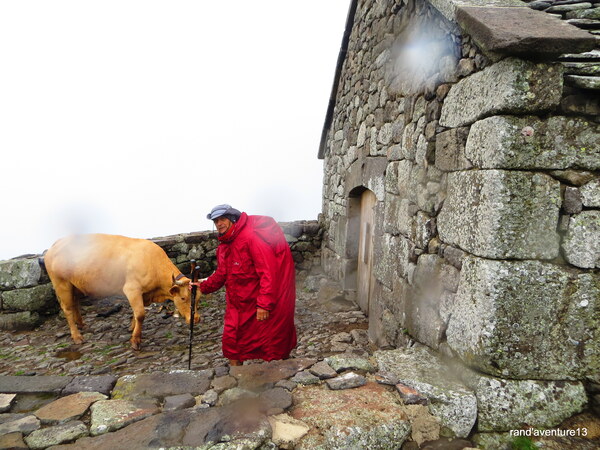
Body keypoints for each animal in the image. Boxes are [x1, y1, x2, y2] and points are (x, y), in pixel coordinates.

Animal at [43, 234, 202, 350]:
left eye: (199, 298)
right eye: (183, 298)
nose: (196, 319)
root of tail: (56, 244)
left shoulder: (143, 294)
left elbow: (136, 313)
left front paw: (131, 328)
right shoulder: (132, 289)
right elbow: (140, 314)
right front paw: (135, 340)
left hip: (73, 284)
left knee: (75, 303)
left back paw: (82, 325)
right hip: (61, 283)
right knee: (67, 309)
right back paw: (77, 337)